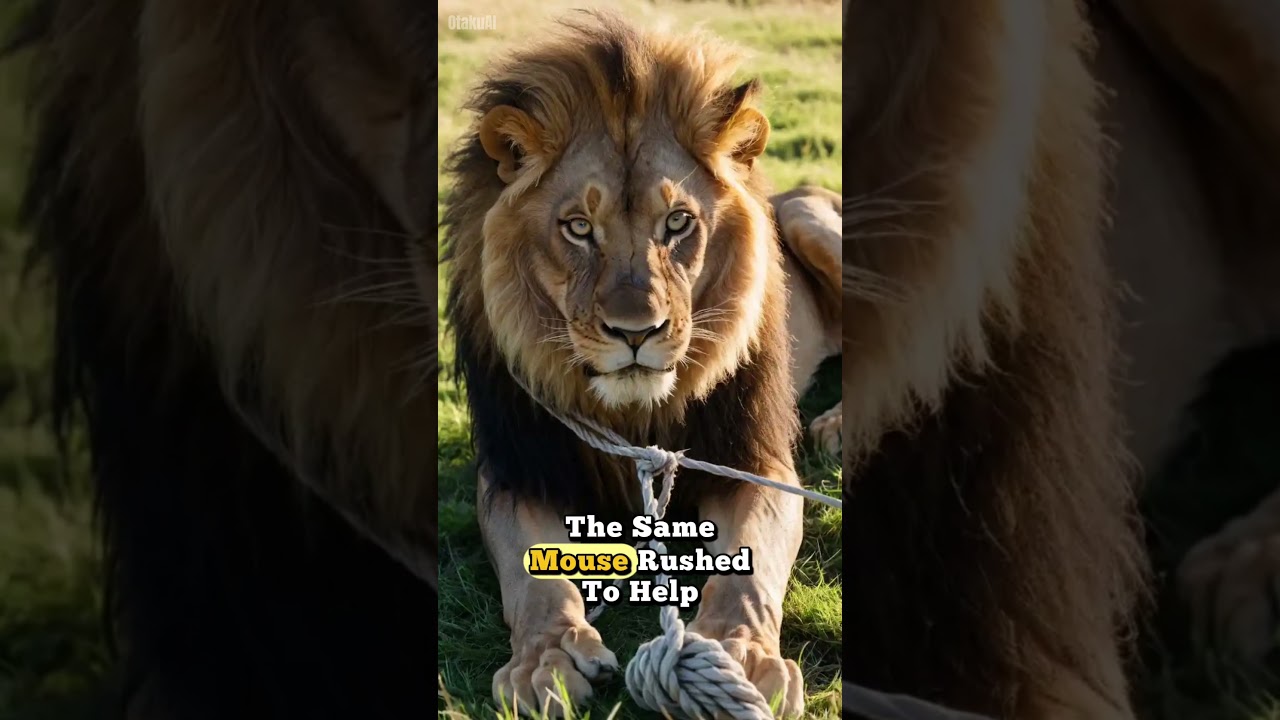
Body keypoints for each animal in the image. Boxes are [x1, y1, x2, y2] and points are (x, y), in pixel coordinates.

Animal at [439, 11, 835, 717]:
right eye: (577, 228)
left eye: (677, 222)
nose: (636, 332)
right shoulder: (517, 470)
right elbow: (530, 571)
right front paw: (546, 659)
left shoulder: (757, 462)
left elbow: (748, 565)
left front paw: (739, 654)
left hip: (811, 217)